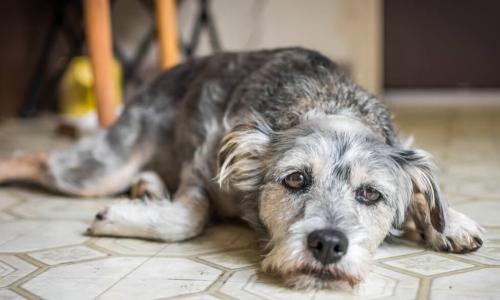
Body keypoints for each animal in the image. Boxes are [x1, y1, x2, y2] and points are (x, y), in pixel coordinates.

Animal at [0, 48, 484, 290]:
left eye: (370, 194)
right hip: (100, 169)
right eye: (295, 179)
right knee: (33, 157)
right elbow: (189, 218)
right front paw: (121, 218)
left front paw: (450, 222)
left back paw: (148, 188)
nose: (328, 245)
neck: (326, 101)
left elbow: (428, 193)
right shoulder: (203, 166)